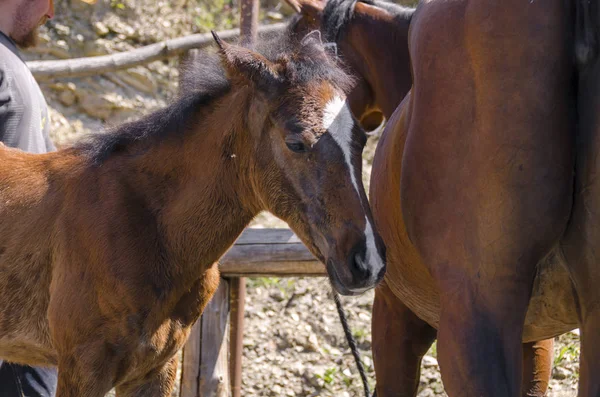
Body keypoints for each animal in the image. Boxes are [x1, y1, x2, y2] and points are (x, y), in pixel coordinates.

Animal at [0, 32, 386, 394]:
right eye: (295, 142)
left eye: (363, 139)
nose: (367, 262)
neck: (149, 229)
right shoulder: (82, 369)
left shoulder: (156, 369)